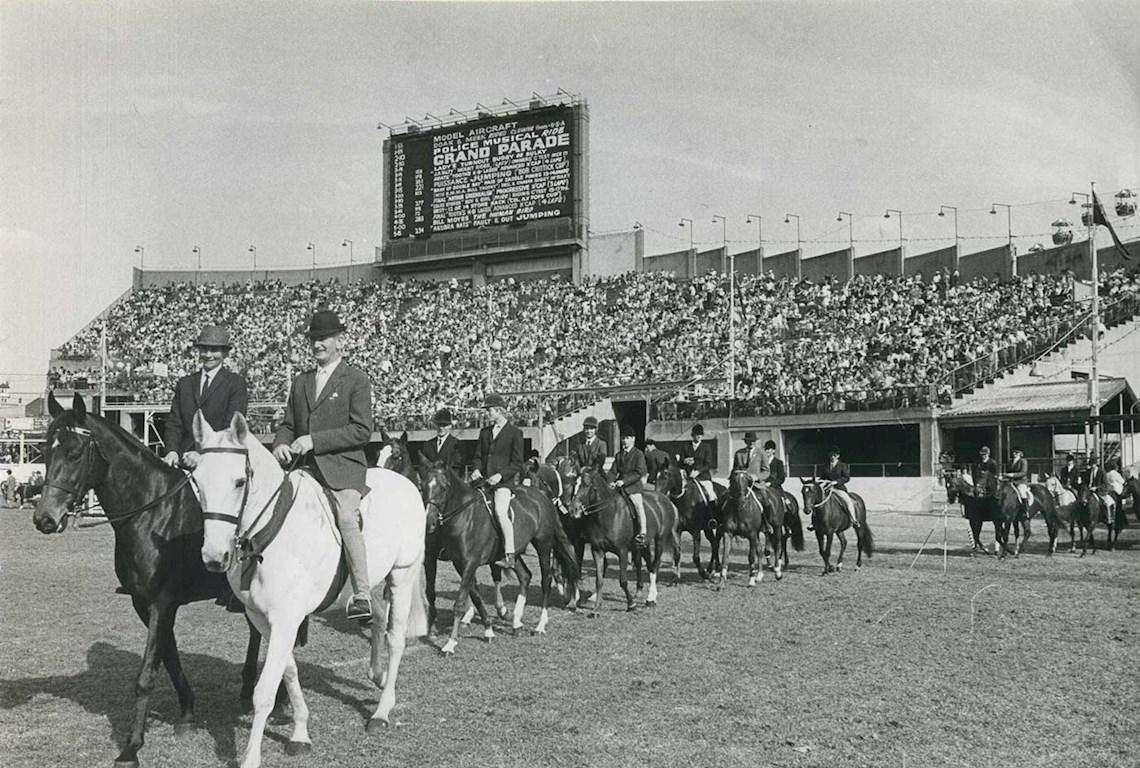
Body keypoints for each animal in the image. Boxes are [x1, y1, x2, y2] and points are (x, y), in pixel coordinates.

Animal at [32, 394, 259, 765]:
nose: (45, 519)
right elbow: (168, 656)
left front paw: (132, 746)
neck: (151, 512)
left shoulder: (161, 602)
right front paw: (187, 713)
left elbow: (146, 673)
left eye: (75, 454)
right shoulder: (144, 602)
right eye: (45, 452)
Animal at [196, 412, 428, 765]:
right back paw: (376, 673)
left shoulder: (286, 618)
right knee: (376, 617)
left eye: (239, 482)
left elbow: (265, 690)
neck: (272, 533)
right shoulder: (264, 619)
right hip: (367, 581)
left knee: (396, 638)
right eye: (196, 482)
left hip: (402, 573)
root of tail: (405, 484)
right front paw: (300, 733)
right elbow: (289, 672)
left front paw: (251, 756)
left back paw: (382, 711)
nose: (213, 557)